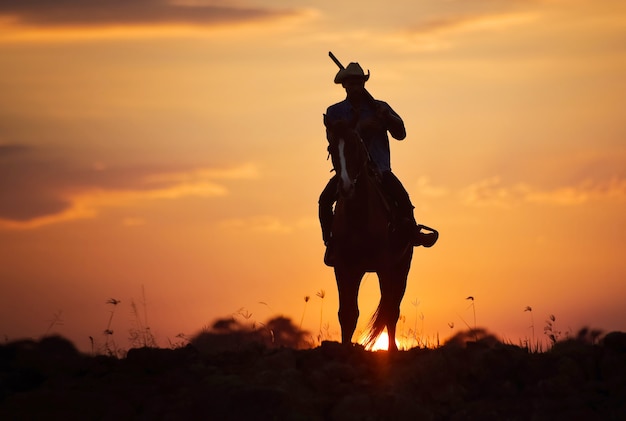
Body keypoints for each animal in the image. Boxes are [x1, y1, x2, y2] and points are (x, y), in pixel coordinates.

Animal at [322, 113, 414, 350]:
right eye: (331, 147)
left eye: (355, 145)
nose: (345, 186)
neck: (359, 217)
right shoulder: (344, 267)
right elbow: (347, 313)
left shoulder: (384, 265)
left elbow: (388, 310)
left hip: (402, 267)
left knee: (393, 308)